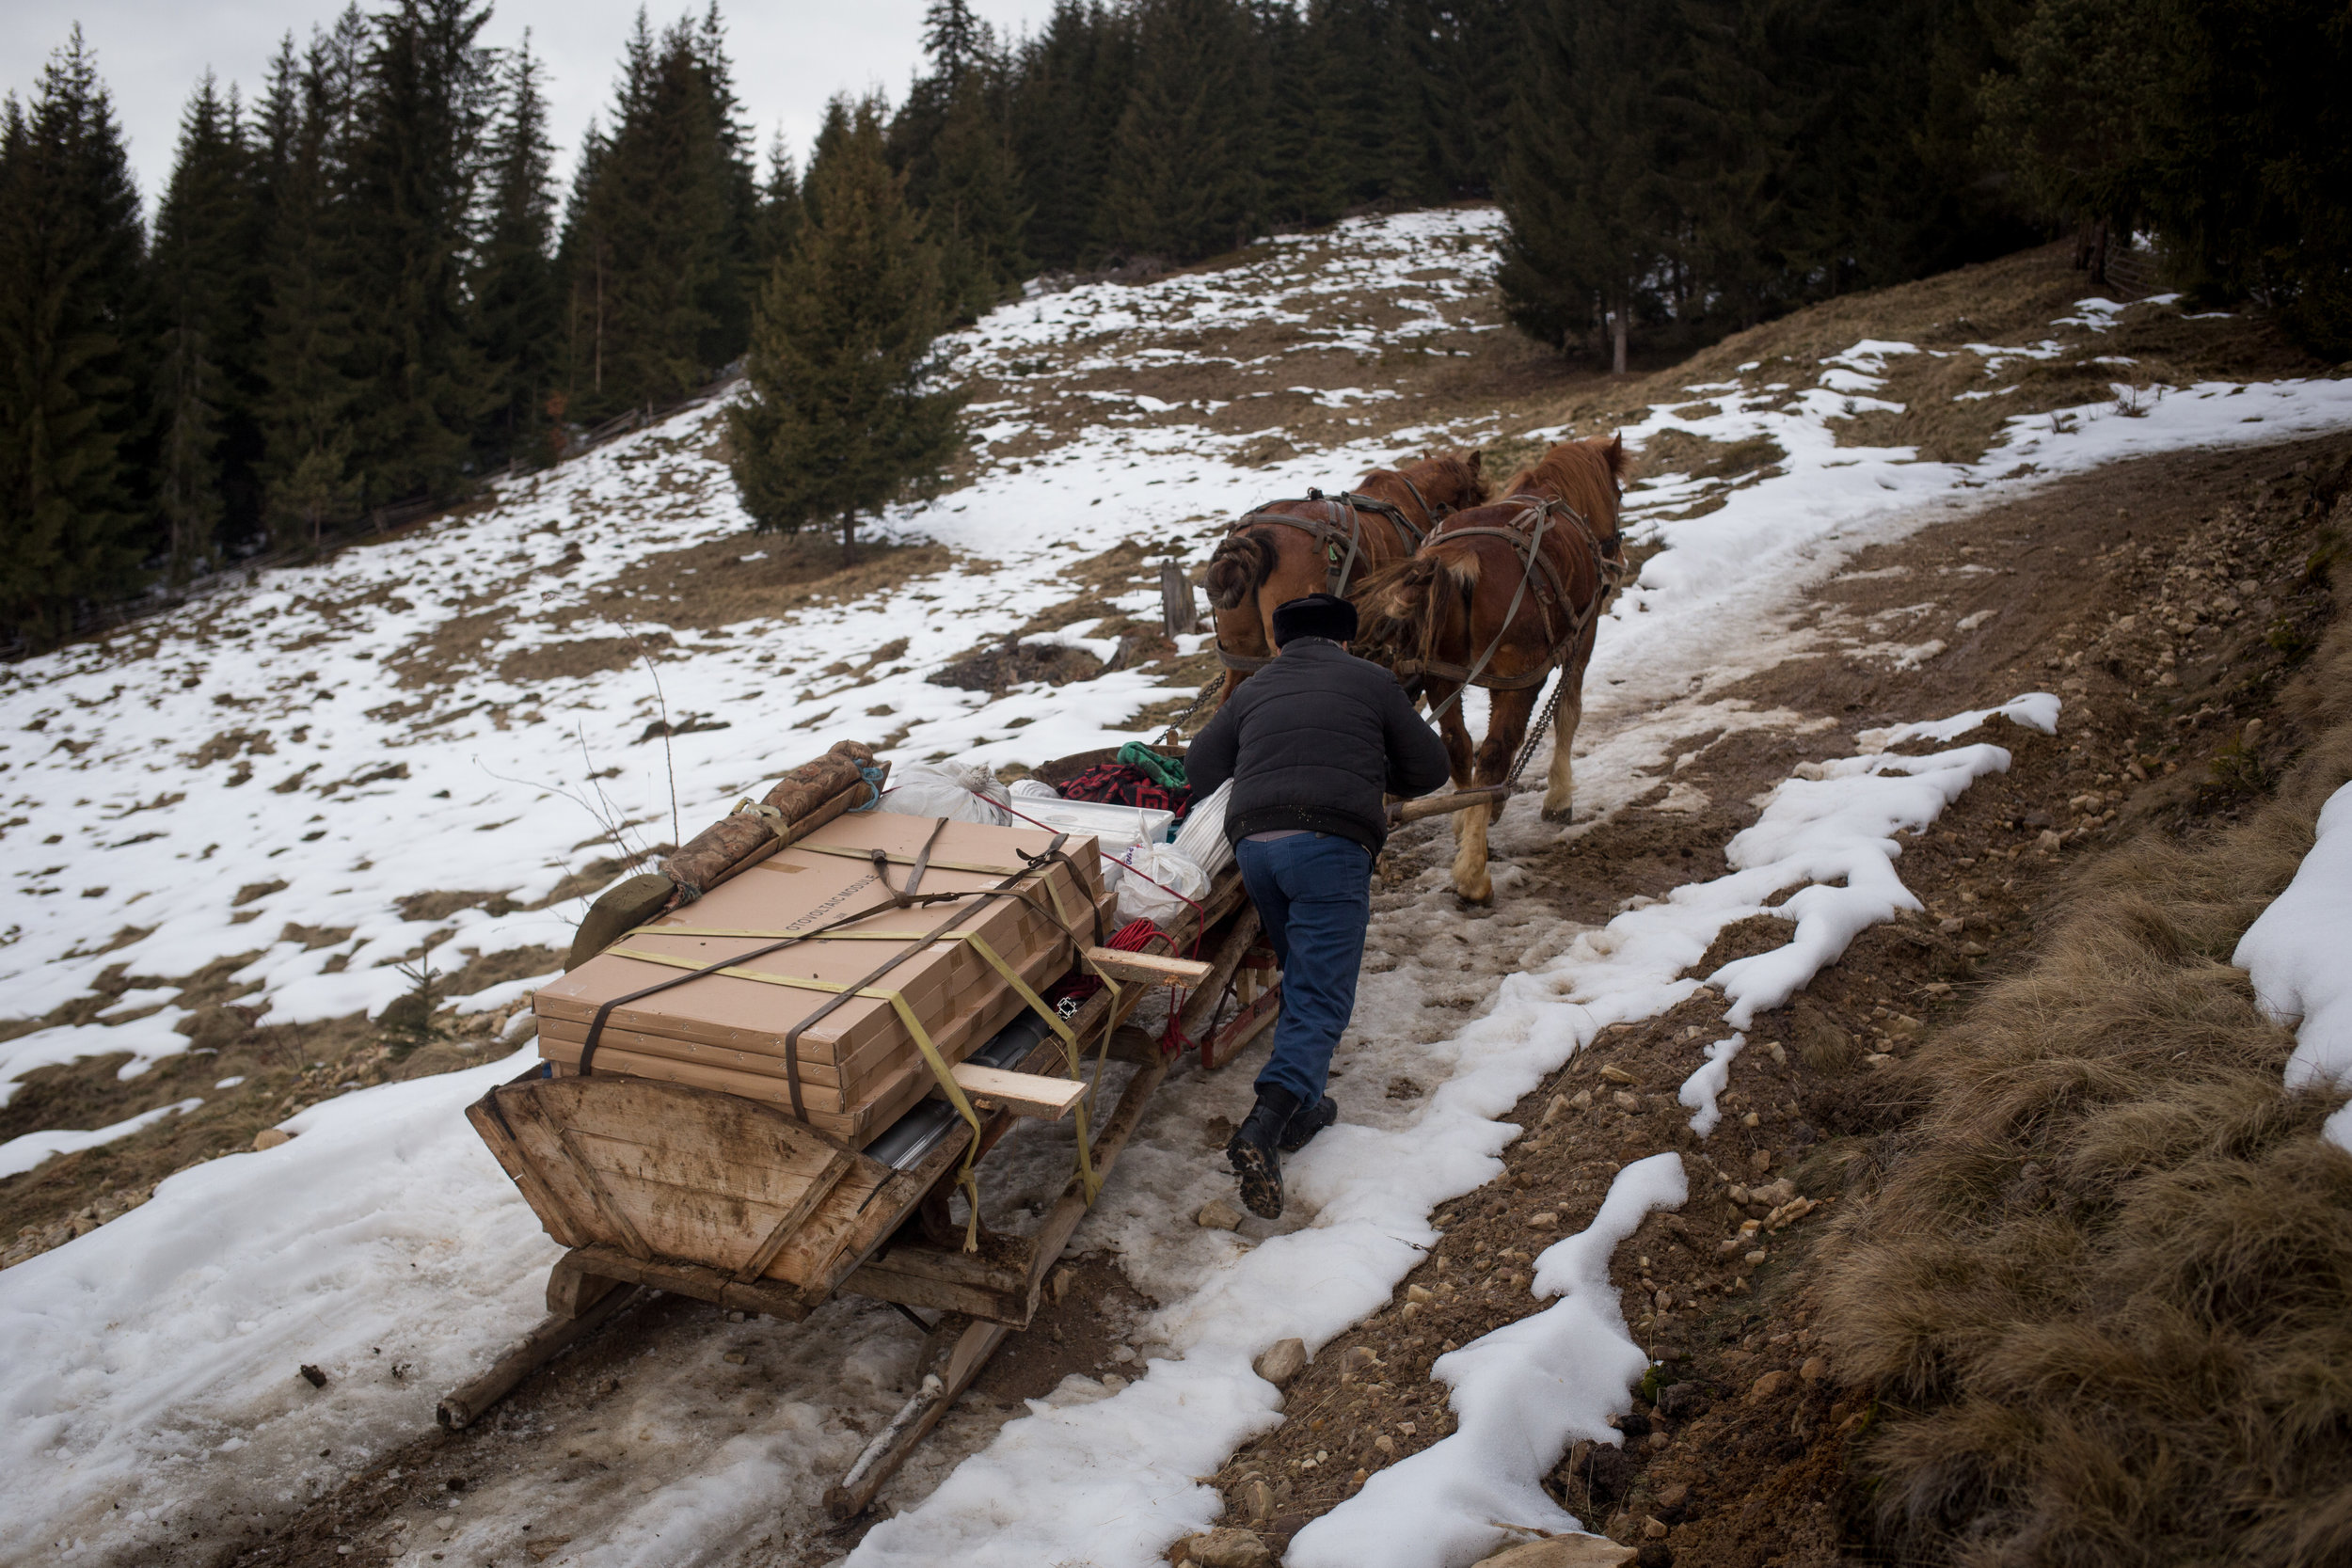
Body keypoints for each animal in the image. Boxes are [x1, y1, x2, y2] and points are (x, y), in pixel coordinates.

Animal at [1355, 441, 1628, 902]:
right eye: (1620, 494)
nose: (1619, 558)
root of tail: (1461, 560)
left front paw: (1473, 822)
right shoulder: (1582, 639)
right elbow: (1566, 715)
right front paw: (1558, 799)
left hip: (1439, 675)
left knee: (1459, 746)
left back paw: (1467, 831)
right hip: (1517, 675)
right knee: (1495, 752)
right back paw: (1473, 875)